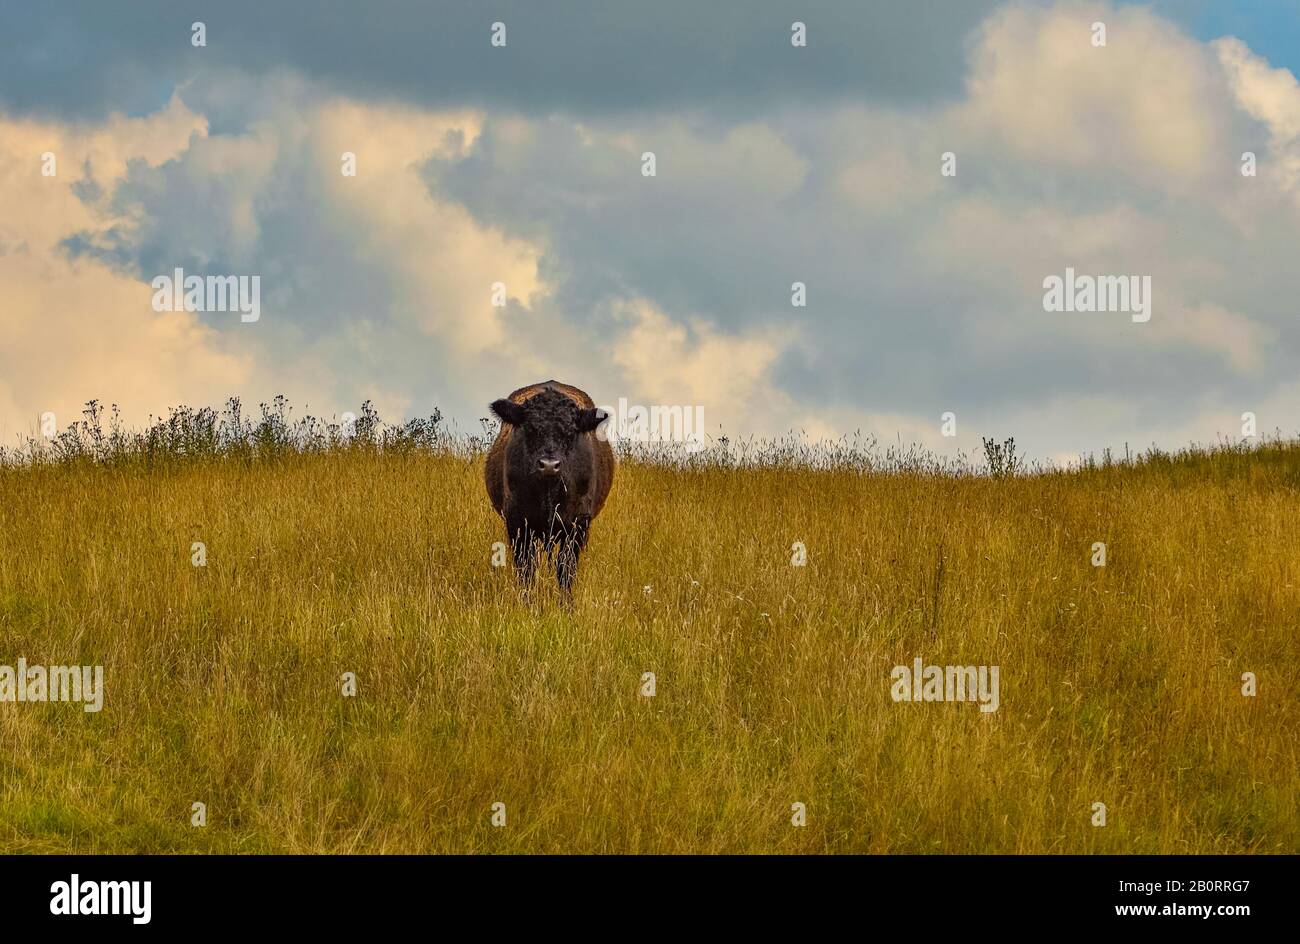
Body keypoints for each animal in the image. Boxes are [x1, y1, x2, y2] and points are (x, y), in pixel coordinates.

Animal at [486, 382, 616, 592]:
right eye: (530, 429)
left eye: (570, 432)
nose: (549, 465)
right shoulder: (518, 524)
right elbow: (526, 570)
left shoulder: (577, 526)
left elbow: (565, 569)